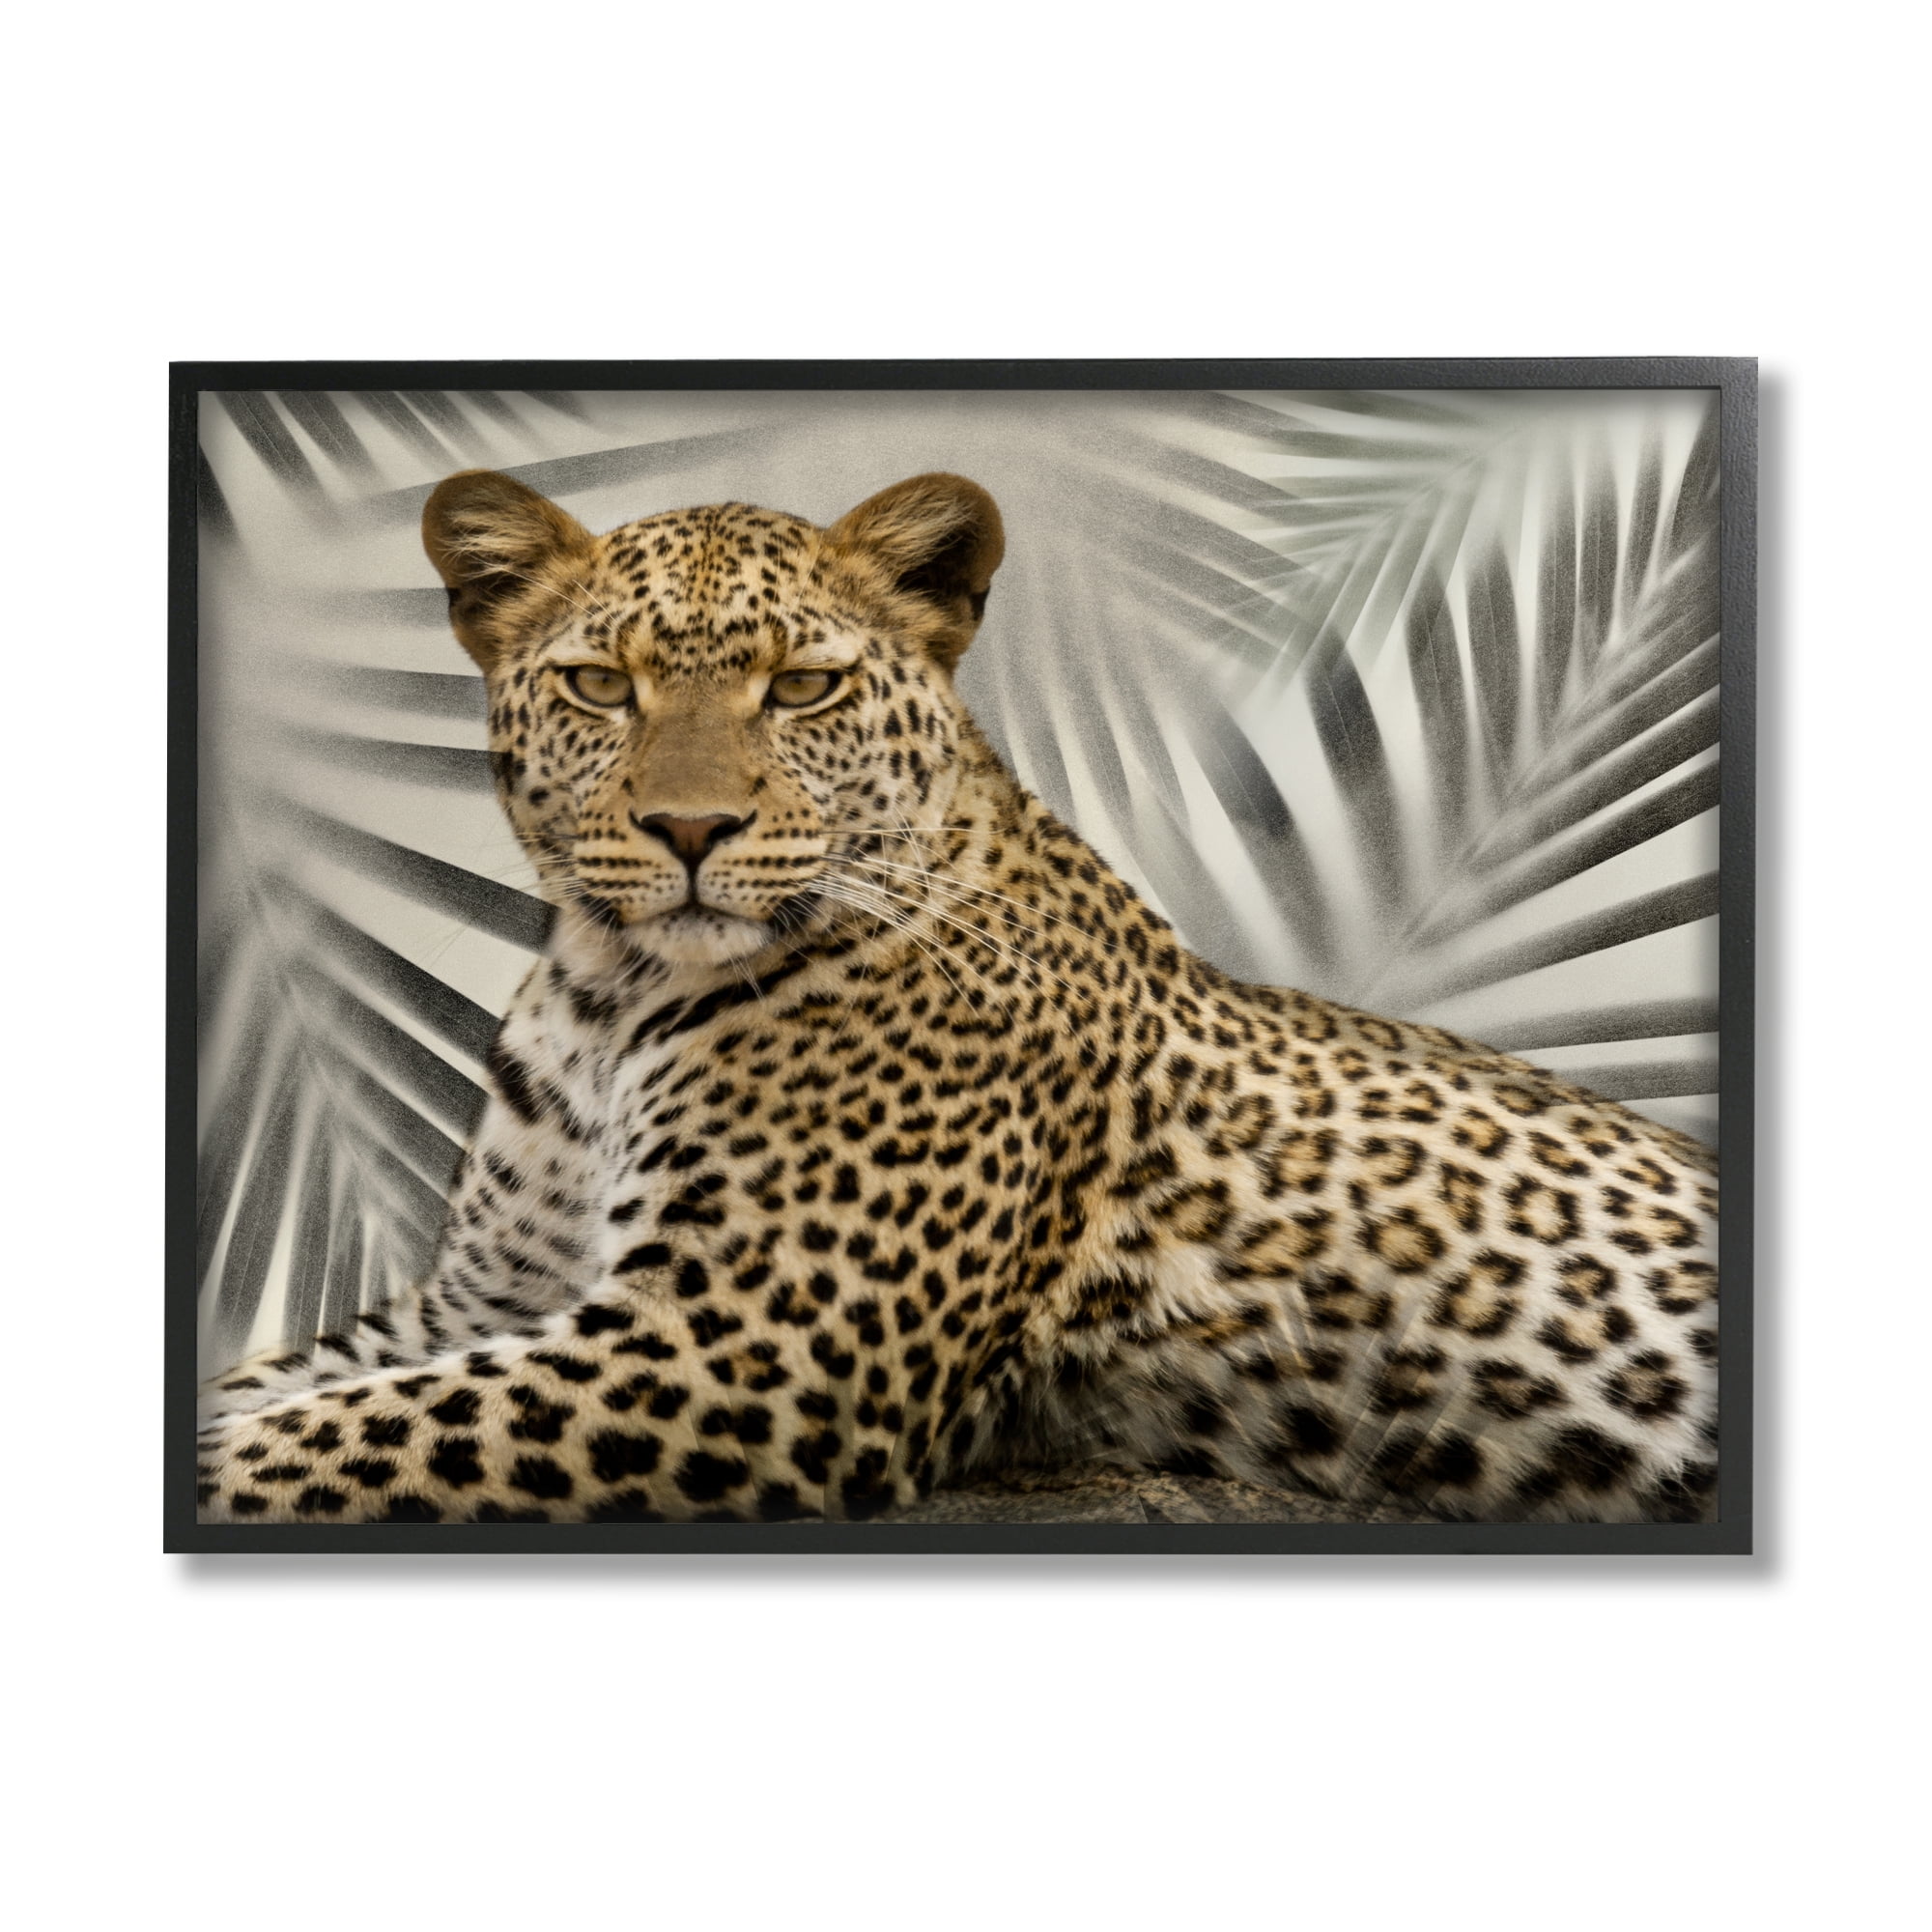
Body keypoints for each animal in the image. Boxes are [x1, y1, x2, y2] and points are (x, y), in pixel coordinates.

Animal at [195, 467, 1720, 1525]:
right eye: (597, 683)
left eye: (803, 688)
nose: (691, 829)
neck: (606, 998)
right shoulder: (481, 1299)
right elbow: (284, 1389)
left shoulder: (741, 1347)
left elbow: (316, 1436)